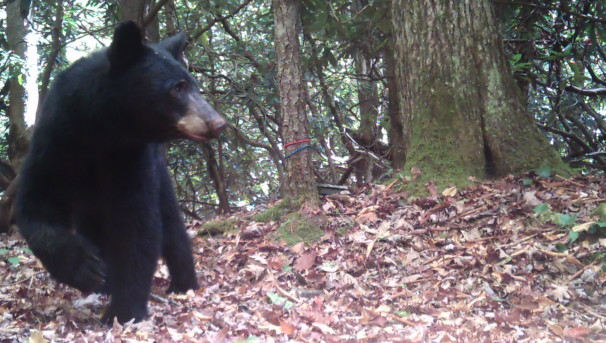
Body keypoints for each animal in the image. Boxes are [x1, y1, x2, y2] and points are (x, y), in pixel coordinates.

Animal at [14, 22, 228, 326]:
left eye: (193, 85)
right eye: (177, 87)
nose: (218, 123)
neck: (102, 129)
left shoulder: (132, 156)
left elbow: (137, 223)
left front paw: (124, 312)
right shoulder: (56, 139)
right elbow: (37, 206)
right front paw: (85, 268)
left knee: (170, 222)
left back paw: (183, 283)